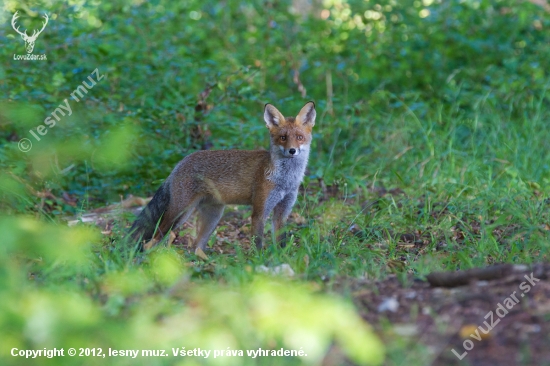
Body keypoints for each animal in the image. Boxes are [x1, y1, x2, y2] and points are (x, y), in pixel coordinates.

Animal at [129, 101, 316, 254]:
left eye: (299, 137)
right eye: (283, 138)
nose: (292, 150)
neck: (286, 180)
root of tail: (179, 164)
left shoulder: (282, 212)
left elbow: (281, 243)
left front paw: (281, 260)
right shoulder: (260, 211)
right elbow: (258, 243)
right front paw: (258, 263)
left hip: (213, 216)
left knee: (195, 247)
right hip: (180, 214)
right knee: (154, 239)